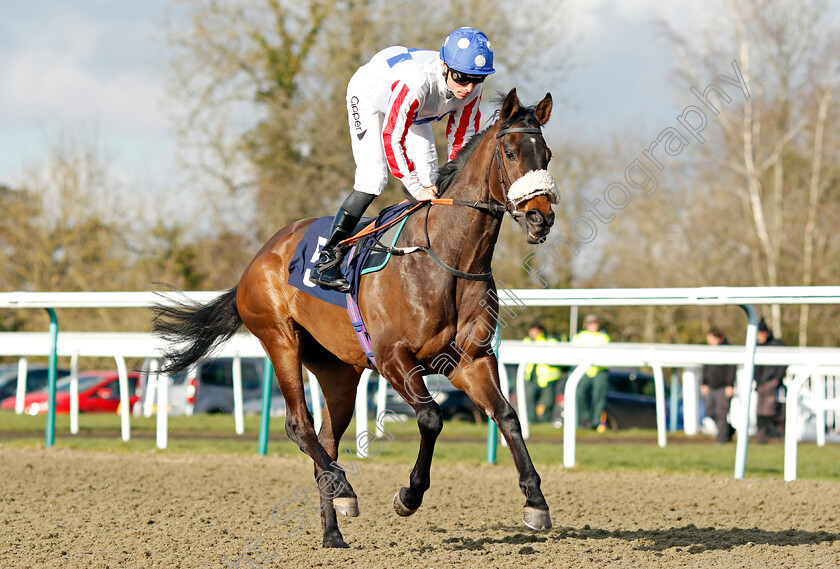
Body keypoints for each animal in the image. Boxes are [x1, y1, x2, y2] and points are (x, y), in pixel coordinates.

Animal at [153, 87, 556, 544]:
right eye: (510, 152)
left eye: (546, 155)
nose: (541, 216)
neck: (446, 258)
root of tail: (255, 261)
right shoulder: (393, 357)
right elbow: (431, 417)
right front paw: (409, 495)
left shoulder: (470, 359)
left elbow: (508, 416)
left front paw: (535, 501)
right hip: (279, 339)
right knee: (299, 425)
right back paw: (344, 488)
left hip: (339, 370)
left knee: (326, 438)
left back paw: (333, 531)